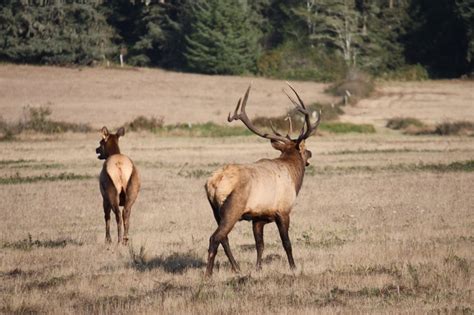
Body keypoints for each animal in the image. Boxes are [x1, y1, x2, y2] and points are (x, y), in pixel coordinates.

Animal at [206, 83, 320, 276]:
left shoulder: (258, 217)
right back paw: (208, 274)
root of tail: (214, 184)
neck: (294, 176)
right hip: (233, 208)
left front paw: (258, 268)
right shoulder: (283, 210)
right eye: (304, 148)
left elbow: (260, 245)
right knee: (215, 237)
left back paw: (236, 268)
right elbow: (287, 243)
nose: (311, 153)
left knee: (224, 239)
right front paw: (293, 267)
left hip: (215, 210)